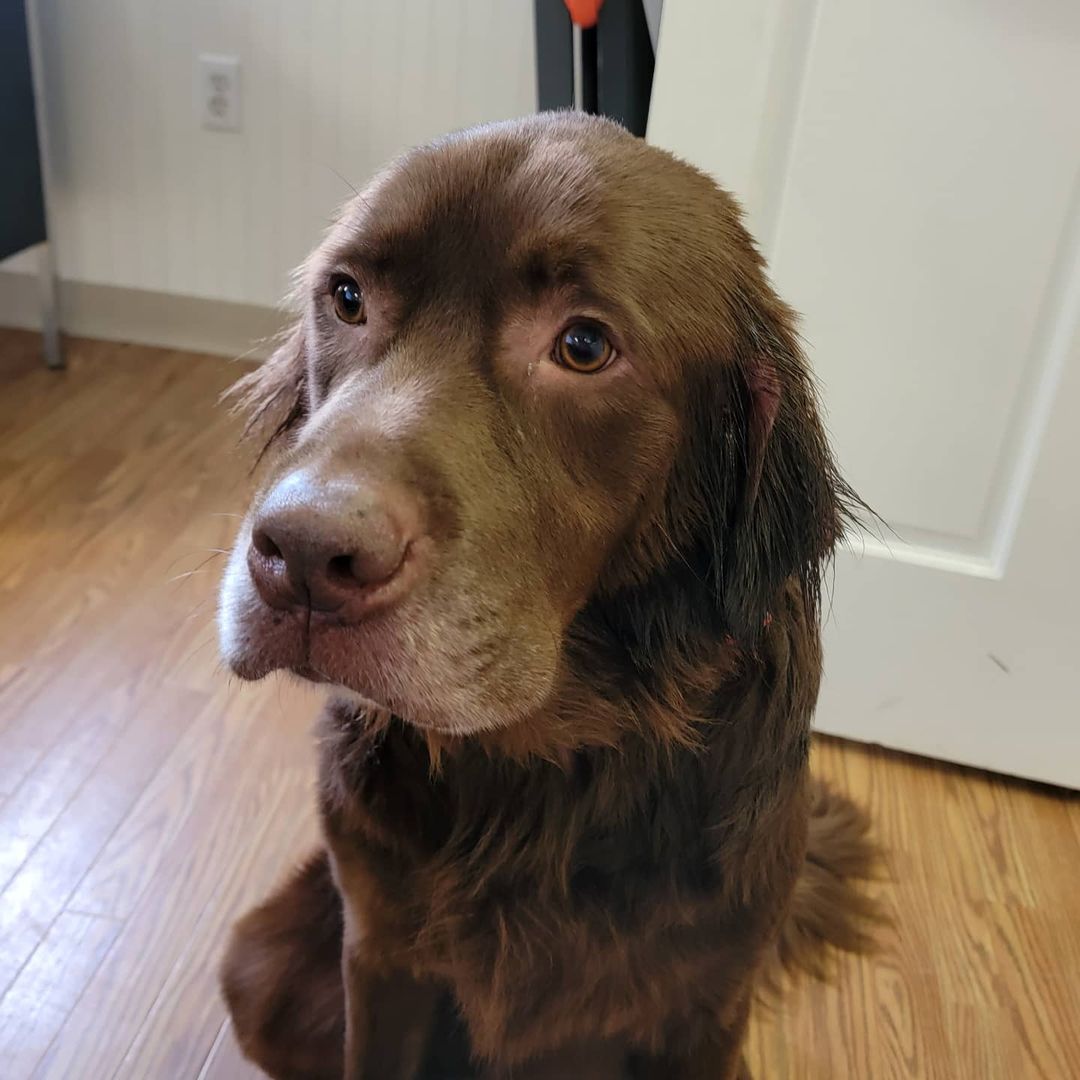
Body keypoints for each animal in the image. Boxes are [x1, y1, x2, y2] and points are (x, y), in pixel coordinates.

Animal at [217, 113, 876, 1075]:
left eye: (585, 346)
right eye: (346, 297)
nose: (300, 554)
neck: (540, 777)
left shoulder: (706, 1004)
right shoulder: (376, 957)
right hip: (263, 968)